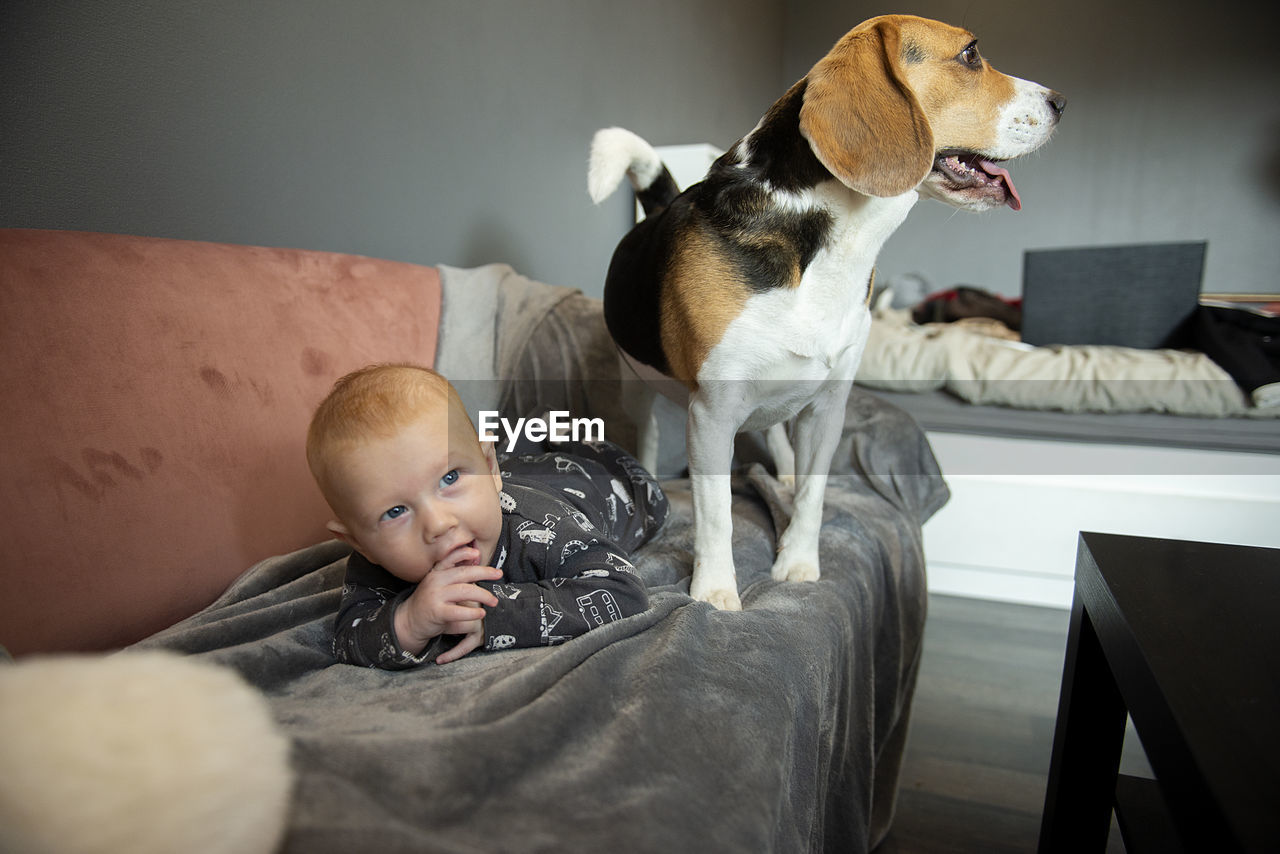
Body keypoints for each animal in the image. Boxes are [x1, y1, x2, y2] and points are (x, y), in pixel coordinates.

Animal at [588, 15, 1059, 614]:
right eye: (971, 54)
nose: (1061, 102)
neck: (835, 241)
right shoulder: (712, 414)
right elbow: (717, 517)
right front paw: (715, 592)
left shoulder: (827, 408)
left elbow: (813, 495)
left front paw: (797, 565)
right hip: (638, 389)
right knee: (648, 433)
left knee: (777, 437)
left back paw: (784, 475)